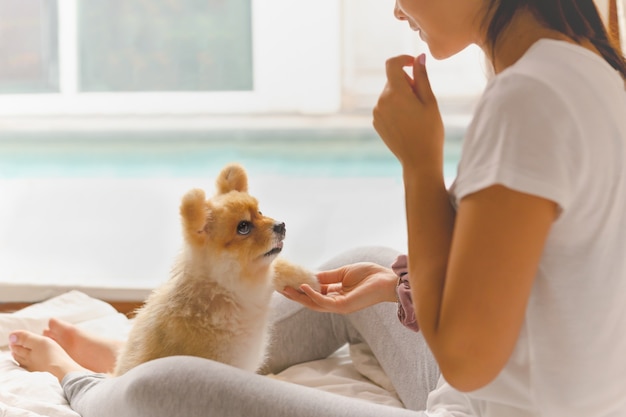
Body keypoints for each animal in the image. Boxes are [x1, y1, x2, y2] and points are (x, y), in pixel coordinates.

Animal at [113, 162, 316, 374]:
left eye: (260, 213)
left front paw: (308, 280)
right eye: (243, 227)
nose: (281, 225)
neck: (229, 291)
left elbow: (278, 267)